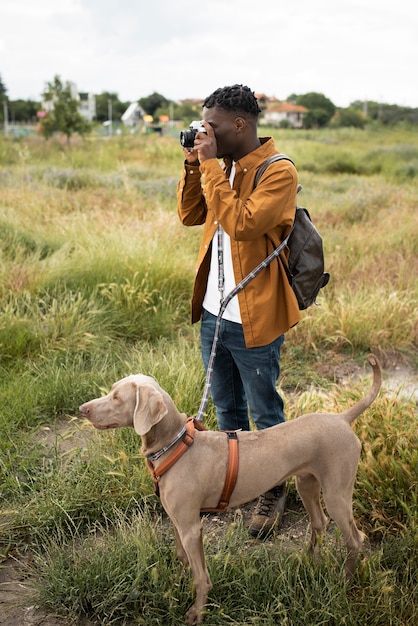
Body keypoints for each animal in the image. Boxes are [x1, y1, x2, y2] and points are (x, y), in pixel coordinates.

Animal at [79, 354, 382, 620]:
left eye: (117, 398)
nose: (83, 409)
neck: (175, 444)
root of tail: (342, 418)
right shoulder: (177, 521)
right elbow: (181, 558)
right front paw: (176, 586)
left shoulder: (191, 528)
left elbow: (201, 577)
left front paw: (197, 612)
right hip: (307, 482)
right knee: (319, 522)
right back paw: (306, 560)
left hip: (336, 492)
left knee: (355, 538)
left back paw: (345, 582)